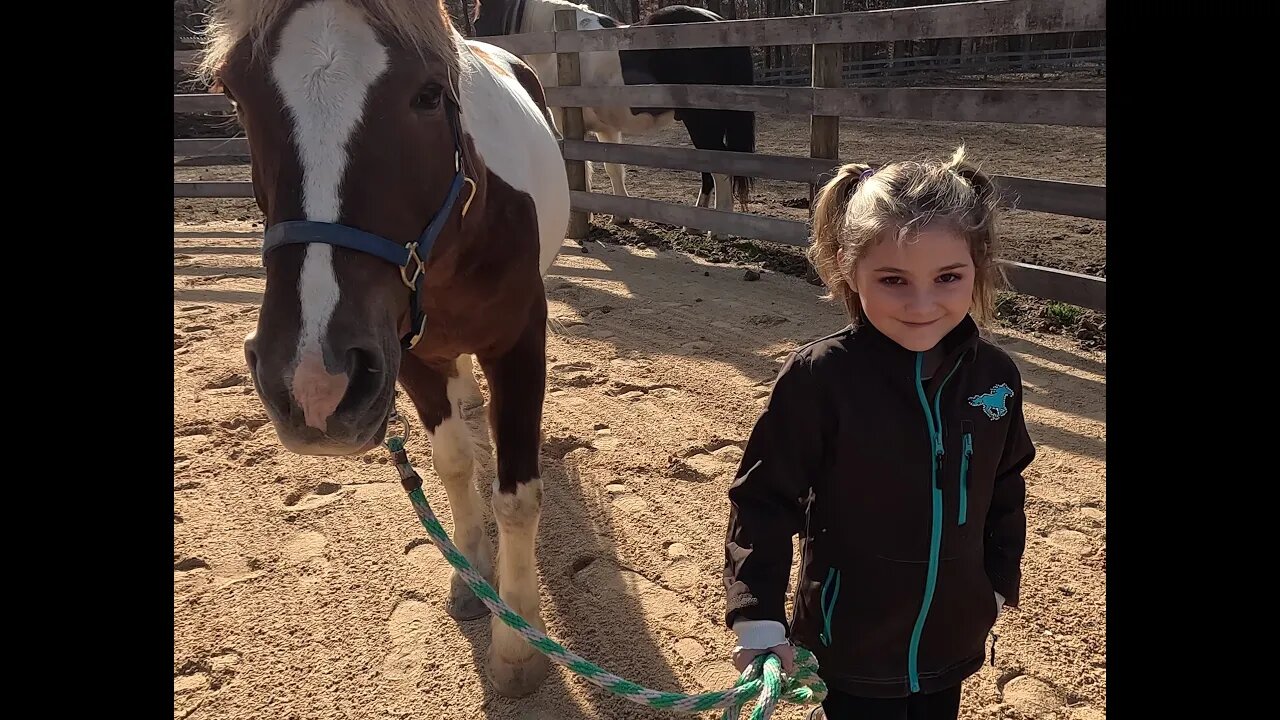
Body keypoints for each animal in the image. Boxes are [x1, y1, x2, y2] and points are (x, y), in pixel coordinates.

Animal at [198, 0, 570, 696]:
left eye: (428, 94)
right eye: (234, 93)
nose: (312, 384)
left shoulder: (519, 345)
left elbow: (515, 497)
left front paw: (517, 644)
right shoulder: (409, 358)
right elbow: (453, 463)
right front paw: (470, 576)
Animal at [473, 0, 752, 230]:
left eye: (477, 21)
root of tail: (718, 23)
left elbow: (581, 168)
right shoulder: (606, 129)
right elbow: (612, 168)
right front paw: (619, 216)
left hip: (702, 120)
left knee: (719, 168)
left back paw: (719, 230)